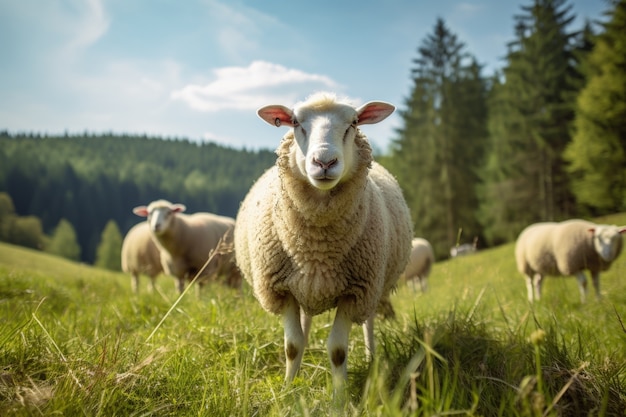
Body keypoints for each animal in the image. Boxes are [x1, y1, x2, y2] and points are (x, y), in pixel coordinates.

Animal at [232, 90, 412, 386]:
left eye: (353, 123)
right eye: (295, 122)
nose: (324, 162)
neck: (317, 248)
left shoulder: (356, 291)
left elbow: (337, 351)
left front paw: (340, 394)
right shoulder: (281, 289)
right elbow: (292, 346)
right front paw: (288, 389)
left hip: (373, 290)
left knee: (369, 322)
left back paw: (371, 358)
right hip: (305, 286)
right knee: (304, 326)